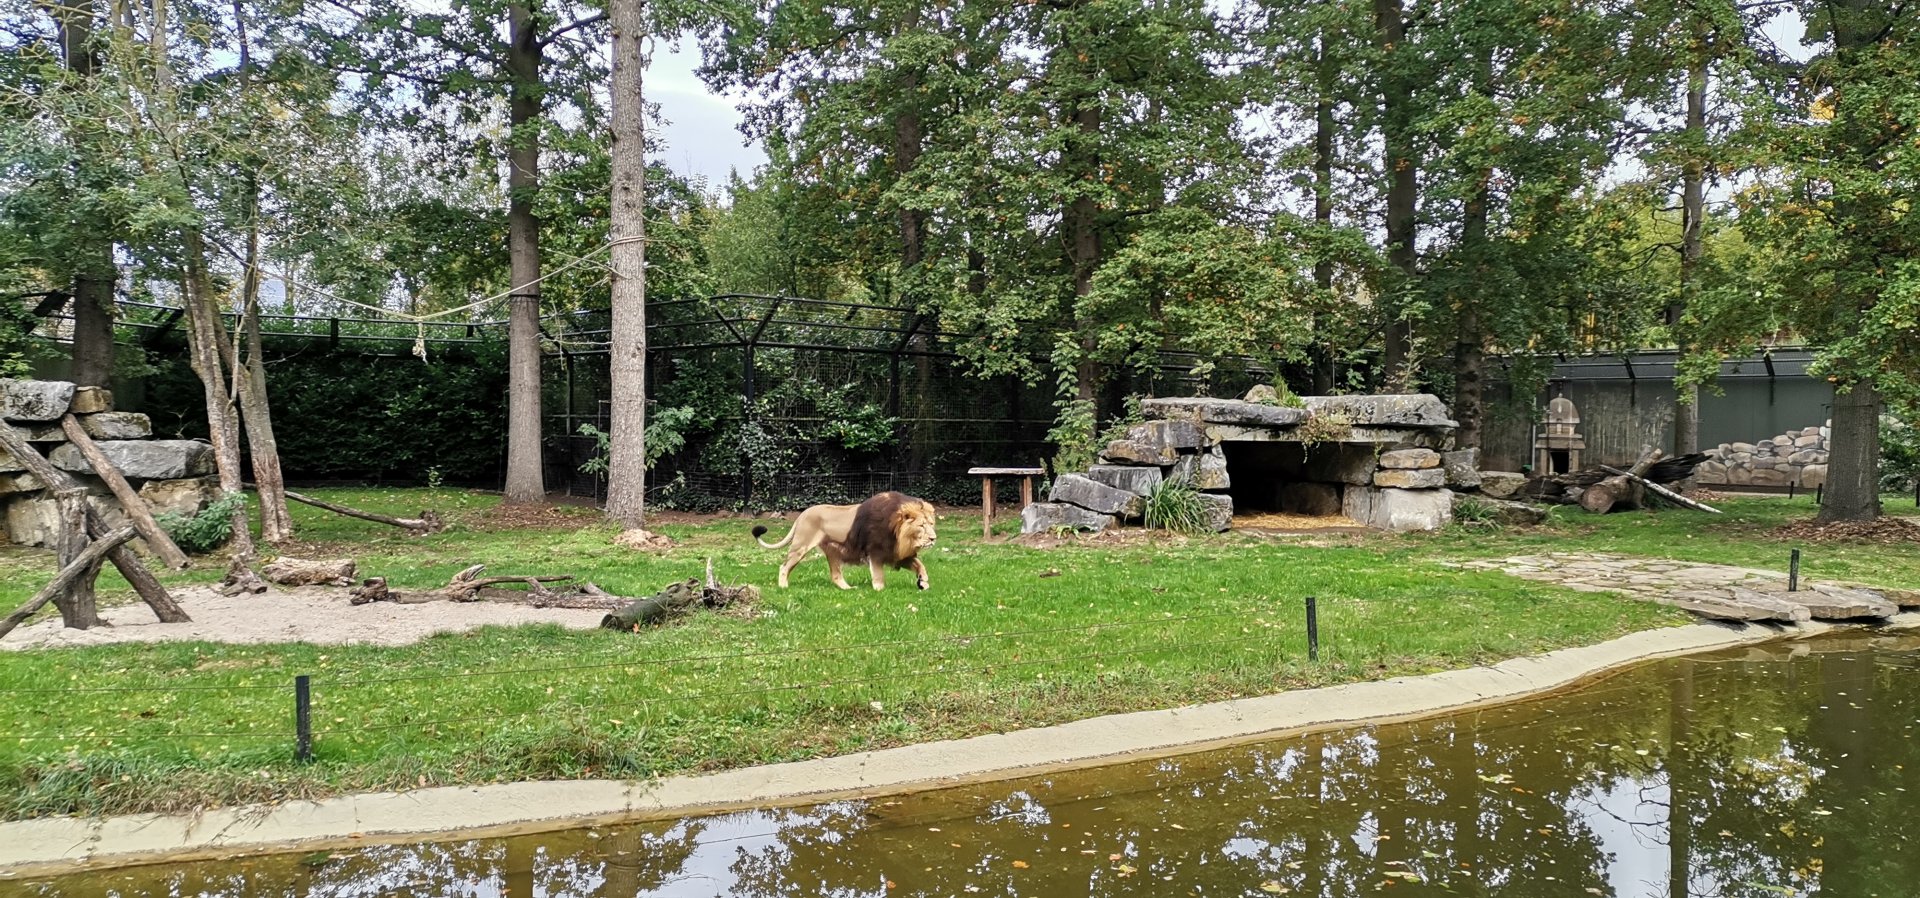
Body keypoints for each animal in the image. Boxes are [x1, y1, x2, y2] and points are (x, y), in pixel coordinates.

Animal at [752, 491, 938, 590]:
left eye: (931, 524)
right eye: (921, 525)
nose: (933, 538)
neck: (898, 533)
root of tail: (802, 514)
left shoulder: (897, 553)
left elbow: (921, 565)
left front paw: (923, 582)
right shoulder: (875, 552)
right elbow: (878, 574)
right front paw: (879, 590)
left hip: (833, 550)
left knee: (835, 575)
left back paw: (848, 589)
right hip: (800, 546)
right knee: (784, 566)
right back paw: (783, 586)